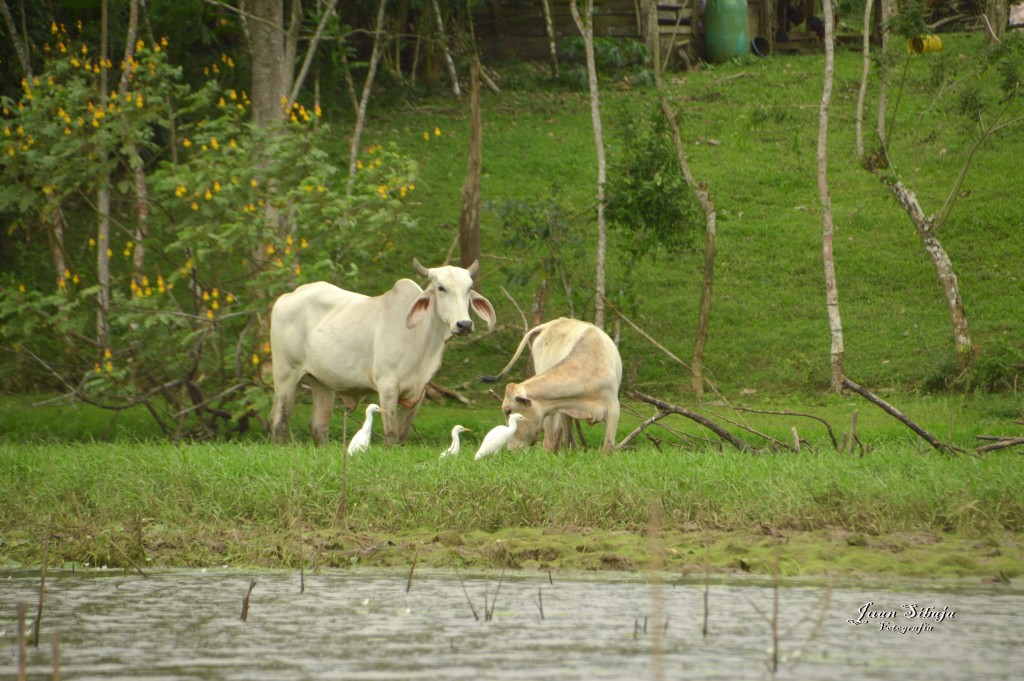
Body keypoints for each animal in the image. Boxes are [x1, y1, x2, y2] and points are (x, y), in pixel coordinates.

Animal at [268, 258, 495, 444]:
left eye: (469, 288)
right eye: (441, 287)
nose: (464, 324)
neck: (420, 339)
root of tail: (287, 296)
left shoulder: (419, 391)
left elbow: (402, 435)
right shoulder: (387, 386)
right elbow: (391, 434)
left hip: (321, 380)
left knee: (318, 424)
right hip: (286, 375)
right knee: (279, 422)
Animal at [477, 317, 618, 450]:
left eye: (508, 410)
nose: (510, 449)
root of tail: (552, 323)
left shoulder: (613, 408)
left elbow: (608, 446)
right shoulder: (564, 409)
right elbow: (569, 440)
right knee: (550, 440)